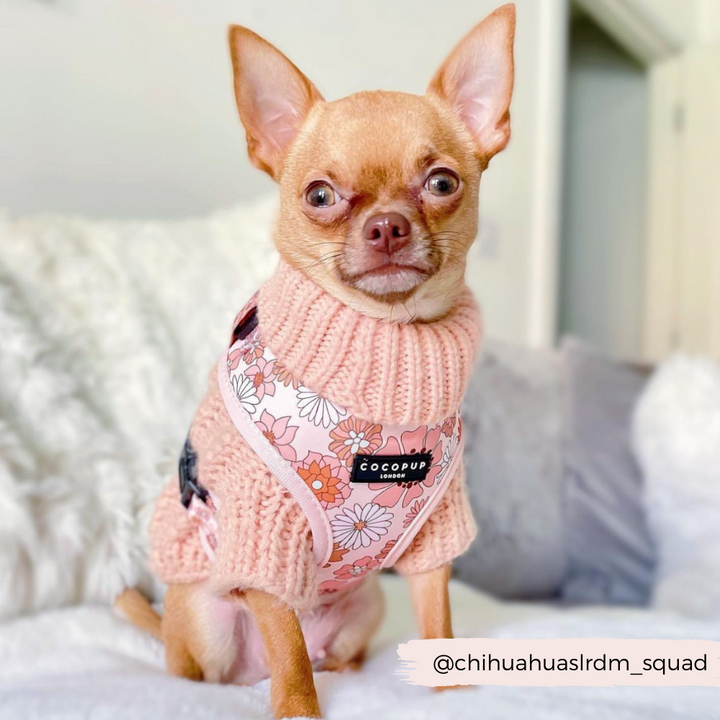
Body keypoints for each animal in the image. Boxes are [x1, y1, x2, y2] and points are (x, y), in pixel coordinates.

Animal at [121, 7, 516, 720]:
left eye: (442, 183)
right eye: (320, 195)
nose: (386, 226)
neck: (386, 351)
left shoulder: (434, 535)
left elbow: (438, 619)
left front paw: (449, 690)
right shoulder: (266, 541)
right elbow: (289, 652)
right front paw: (299, 708)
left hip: (367, 602)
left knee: (333, 650)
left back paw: (347, 667)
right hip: (205, 618)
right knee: (213, 667)